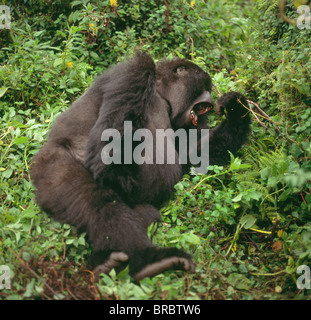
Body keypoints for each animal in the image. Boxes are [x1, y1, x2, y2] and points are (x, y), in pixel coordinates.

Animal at [31, 52, 251, 280]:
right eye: (203, 86)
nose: (209, 95)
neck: (161, 93)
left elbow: (194, 158)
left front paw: (237, 110)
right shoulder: (135, 72)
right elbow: (110, 151)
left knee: (145, 212)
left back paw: (105, 260)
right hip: (50, 167)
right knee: (95, 199)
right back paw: (147, 259)